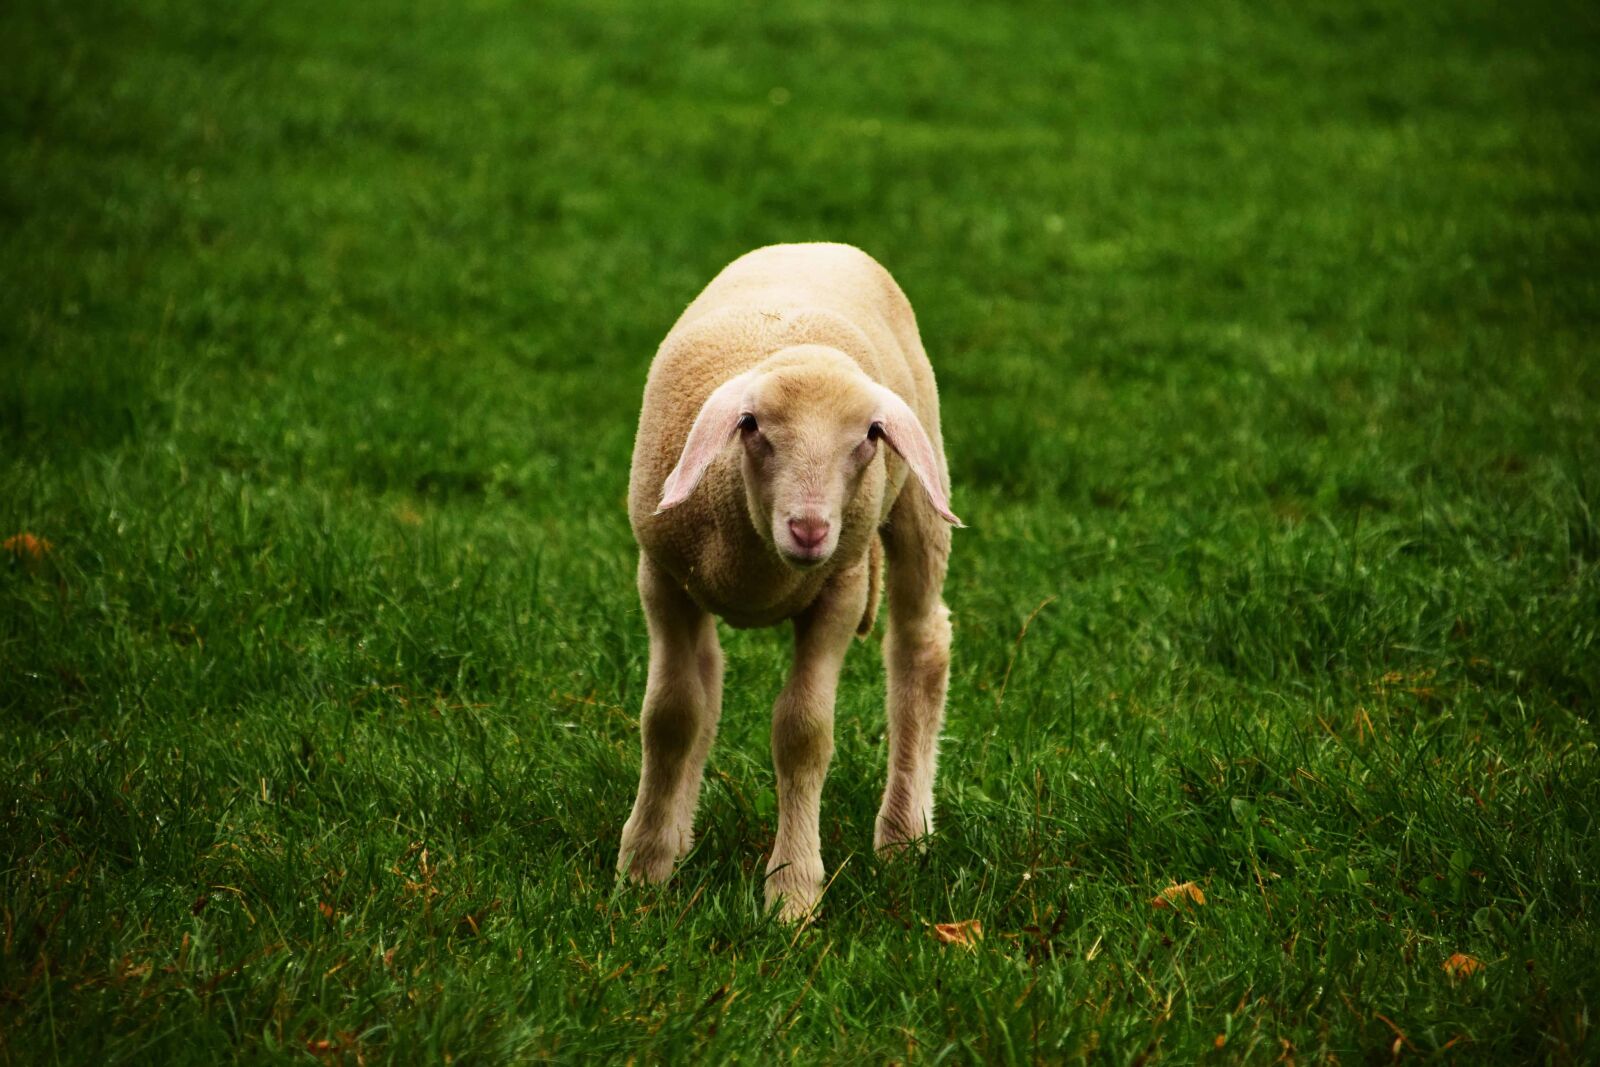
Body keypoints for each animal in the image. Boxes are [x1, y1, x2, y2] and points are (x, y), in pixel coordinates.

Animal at [616, 242, 962, 921]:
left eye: (871, 434)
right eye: (751, 424)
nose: (809, 529)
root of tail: (820, 244)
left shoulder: (841, 590)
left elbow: (803, 734)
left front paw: (792, 892)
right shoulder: (662, 577)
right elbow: (671, 717)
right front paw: (644, 868)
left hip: (920, 498)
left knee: (920, 645)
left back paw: (903, 834)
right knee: (709, 675)